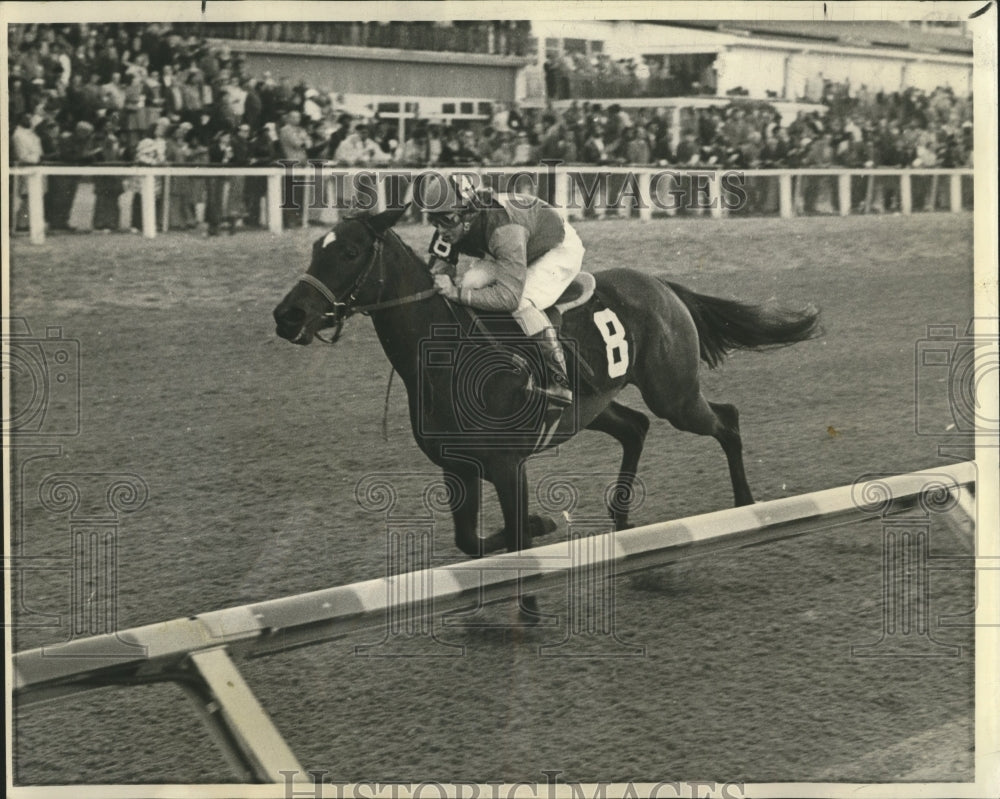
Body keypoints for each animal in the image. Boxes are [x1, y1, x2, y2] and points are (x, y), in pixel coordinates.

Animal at [274, 208, 820, 576]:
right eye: (314, 249)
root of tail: (664, 286)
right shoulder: (458, 466)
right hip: (593, 406)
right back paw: (622, 519)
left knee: (726, 419)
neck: (446, 353)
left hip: (675, 394)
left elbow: (514, 537)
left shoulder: (506, 465)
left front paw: (538, 527)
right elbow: (469, 541)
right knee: (636, 427)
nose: (288, 316)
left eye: (348, 252)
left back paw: (747, 505)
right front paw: (542, 525)